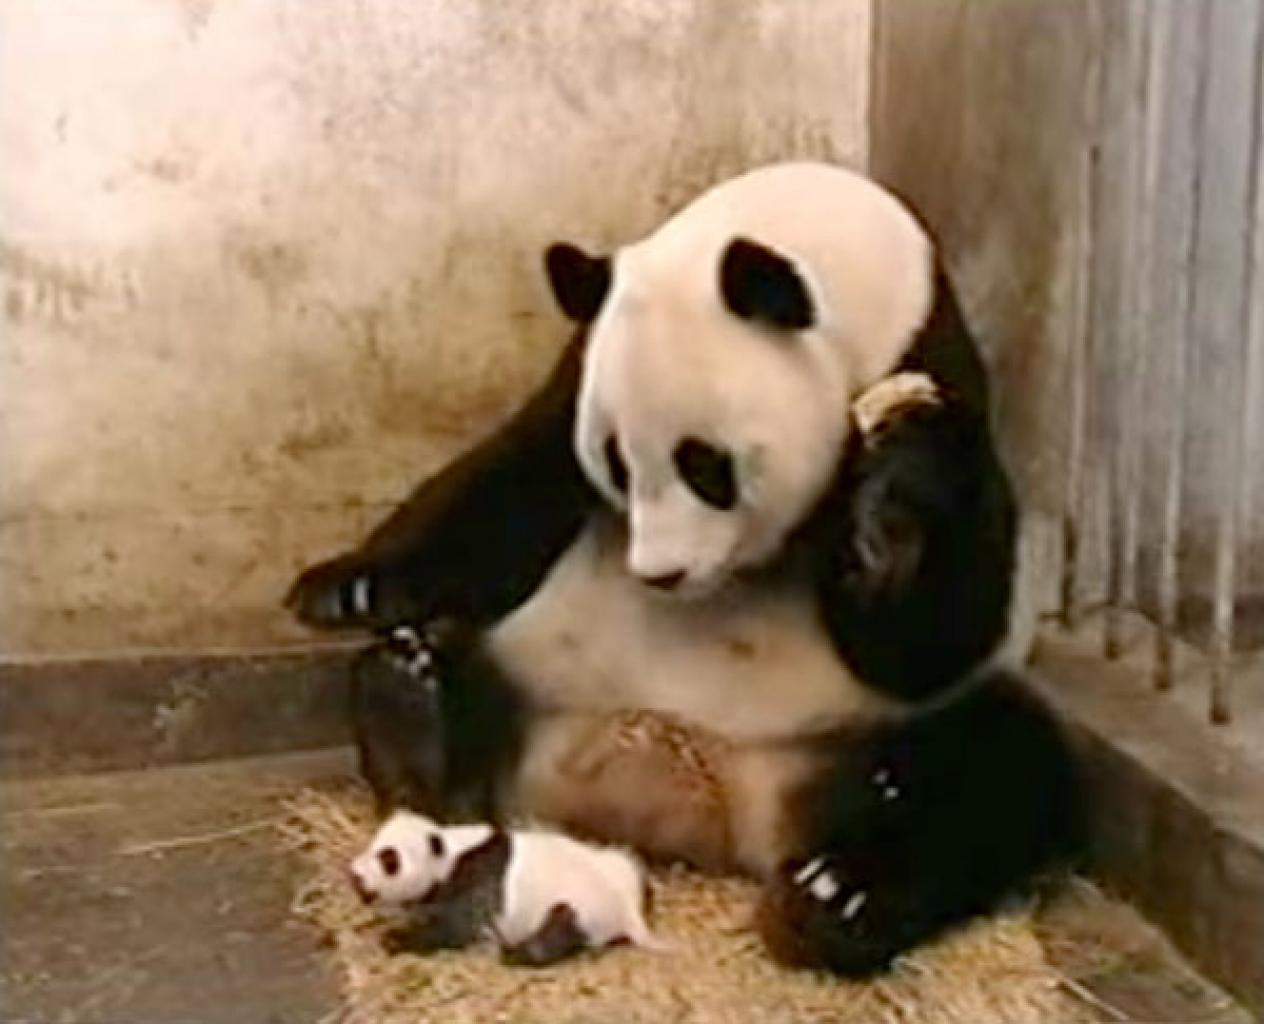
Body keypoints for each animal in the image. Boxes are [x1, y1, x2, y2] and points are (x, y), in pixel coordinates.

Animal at [287, 162, 1081, 977]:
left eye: (706, 466)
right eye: (616, 462)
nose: (661, 574)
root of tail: (685, 803)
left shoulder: (939, 374)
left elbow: (935, 631)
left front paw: (889, 503)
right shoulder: (584, 365)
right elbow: (511, 484)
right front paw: (349, 589)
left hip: (845, 740)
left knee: (1001, 767)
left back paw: (837, 897)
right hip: (532, 681)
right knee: (444, 684)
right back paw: (414, 701)